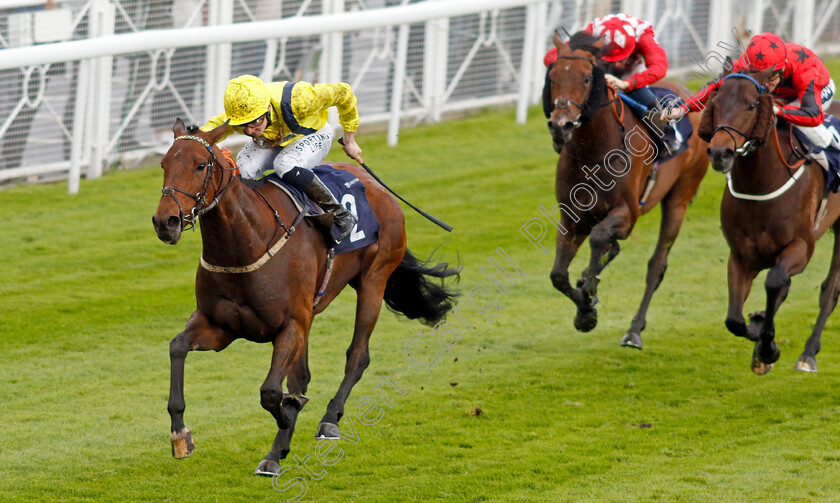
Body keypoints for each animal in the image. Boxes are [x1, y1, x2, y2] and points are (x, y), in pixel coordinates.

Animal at [148, 120, 456, 474]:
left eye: (200, 165)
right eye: (164, 164)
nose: (165, 222)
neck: (247, 241)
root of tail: (373, 184)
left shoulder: (290, 324)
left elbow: (271, 392)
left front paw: (286, 419)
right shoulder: (219, 326)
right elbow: (177, 347)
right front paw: (180, 434)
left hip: (373, 281)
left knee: (357, 356)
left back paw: (328, 419)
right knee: (302, 376)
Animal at [544, 30, 708, 346]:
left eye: (586, 78)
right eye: (553, 76)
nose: (561, 125)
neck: (592, 153)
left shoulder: (628, 214)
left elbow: (599, 238)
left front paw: (589, 291)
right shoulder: (571, 218)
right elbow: (558, 275)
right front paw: (585, 311)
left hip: (679, 197)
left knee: (657, 265)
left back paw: (633, 330)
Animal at [704, 67, 840, 374]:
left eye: (751, 106)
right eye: (715, 105)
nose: (720, 153)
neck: (760, 185)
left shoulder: (801, 246)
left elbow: (776, 282)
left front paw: (767, 348)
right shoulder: (741, 255)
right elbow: (734, 319)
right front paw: (756, 328)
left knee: (830, 290)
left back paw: (808, 354)